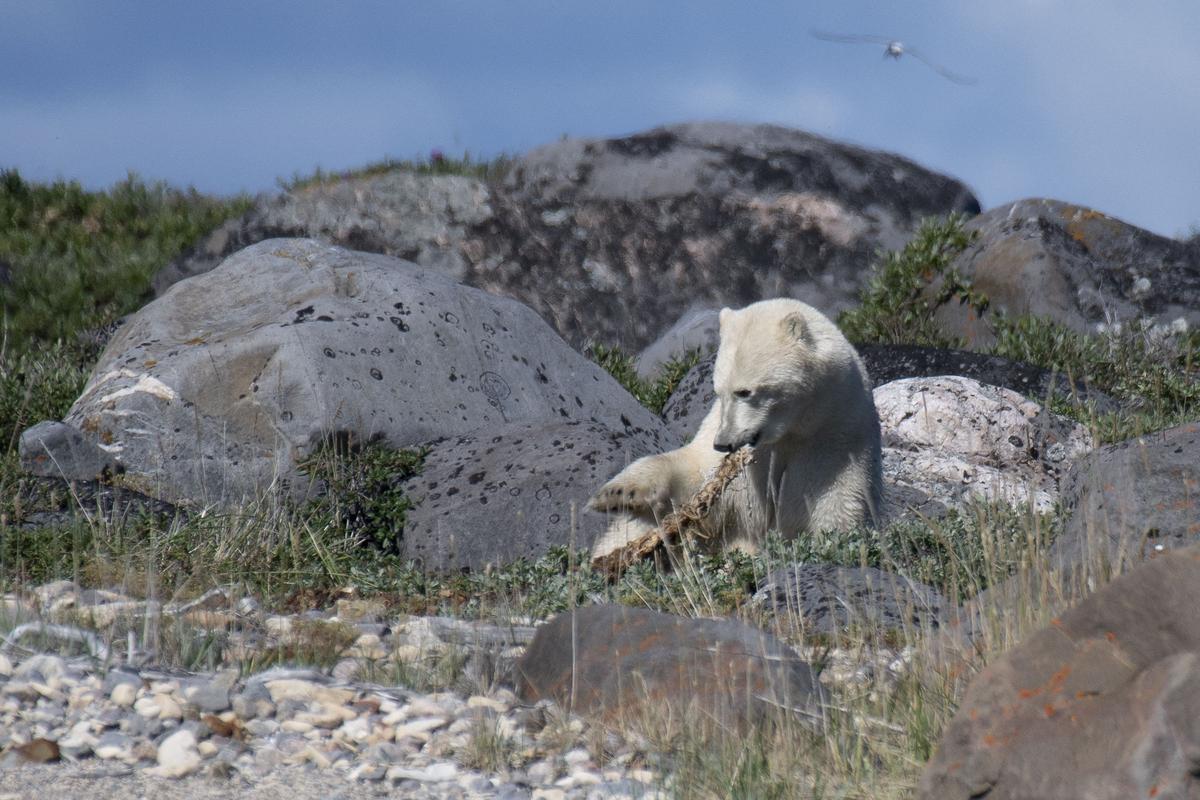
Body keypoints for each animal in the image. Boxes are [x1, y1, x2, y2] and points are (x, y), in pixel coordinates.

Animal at [590, 298, 883, 556]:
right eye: (718, 391)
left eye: (744, 391)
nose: (723, 442)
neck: (791, 431)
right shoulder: (742, 463)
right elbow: (698, 487)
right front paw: (618, 493)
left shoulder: (832, 442)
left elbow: (831, 507)